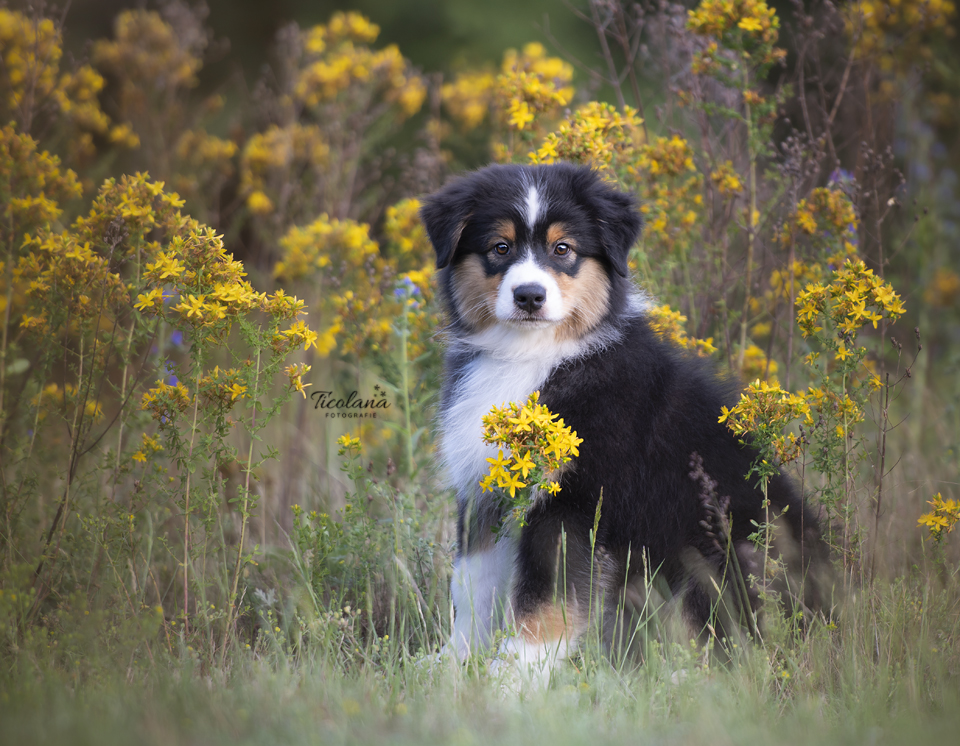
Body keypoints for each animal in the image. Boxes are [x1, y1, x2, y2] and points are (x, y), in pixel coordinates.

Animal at [420, 164, 824, 676]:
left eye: (563, 249)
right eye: (500, 247)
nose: (529, 296)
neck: (533, 355)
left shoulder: (576, 503)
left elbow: (546, 601)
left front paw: (513, 679)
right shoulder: (484, 493)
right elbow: (471, 585)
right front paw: (448, 668)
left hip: (720, 549)